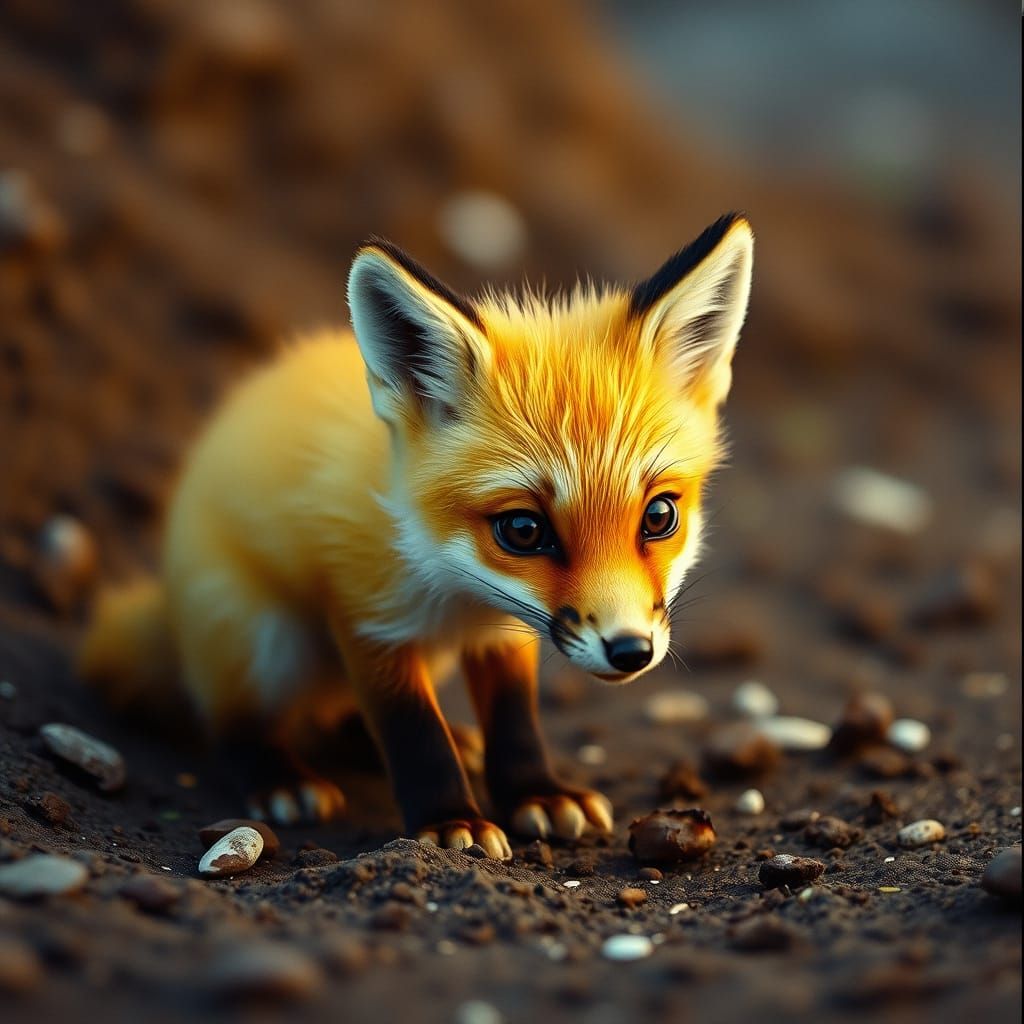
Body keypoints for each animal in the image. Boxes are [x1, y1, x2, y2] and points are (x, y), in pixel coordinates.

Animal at [79, 214, 753, 861]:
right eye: (524, 529)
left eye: (659, 517)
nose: (631, 651)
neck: (454, 587)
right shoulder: (368, 618)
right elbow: (411, 731)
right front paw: (452, 820)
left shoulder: (502, 632)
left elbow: (514, 718)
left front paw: (538, 792)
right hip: (258, 638)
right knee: (233, 721)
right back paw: (280, 776)